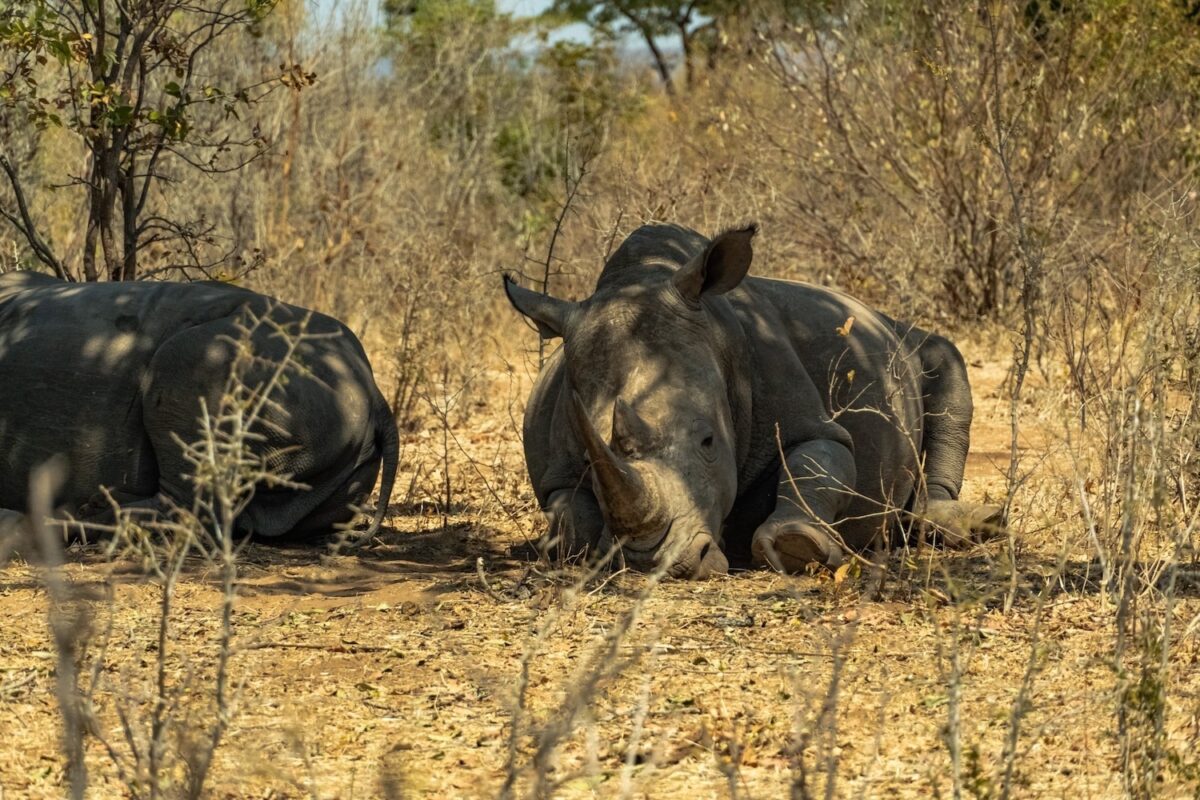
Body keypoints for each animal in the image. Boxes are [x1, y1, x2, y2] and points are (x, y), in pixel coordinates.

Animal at [505, 223, 999, 579]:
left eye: (708, 442)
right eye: (592, 458)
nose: (654, 562)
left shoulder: (803, 412)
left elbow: (817, 462)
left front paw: (797, 548)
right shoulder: (558, 470)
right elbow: (571, 521)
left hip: (905, 339)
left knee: (944, 360)